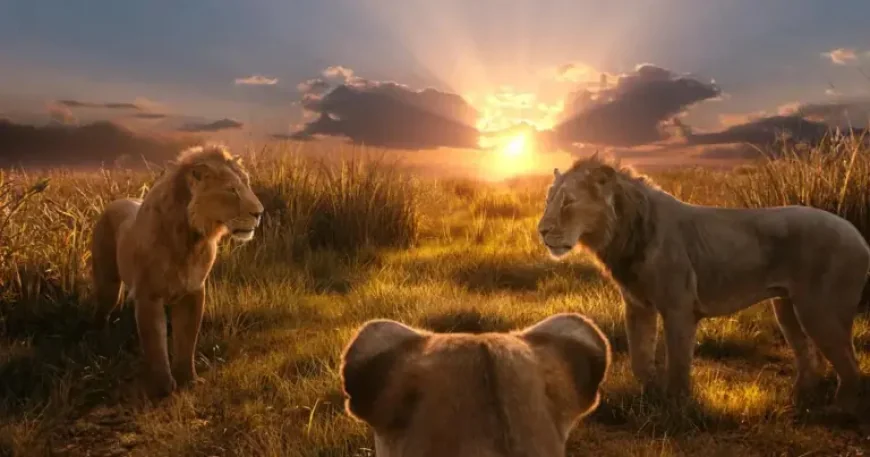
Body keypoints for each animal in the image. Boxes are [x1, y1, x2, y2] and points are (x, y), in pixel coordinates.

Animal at [90, 144, 264, 398]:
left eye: (247, 184)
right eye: (231, 190)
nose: (259, 213)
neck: (190, 239)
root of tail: (116, 201)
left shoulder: (193, 291)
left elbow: (186, 339)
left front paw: (188, 380)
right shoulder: (149, 295)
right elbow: (155, 342)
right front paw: (162, 387)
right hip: (108, 284)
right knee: (101, 312)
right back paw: (100, 346)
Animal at [537, 152, 870, 413]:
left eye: (568, 202)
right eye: (548, 200)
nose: (541, 231)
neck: (623, 233)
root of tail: (858, 235)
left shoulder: (679, 308)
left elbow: (678, 363)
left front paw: (675, 408)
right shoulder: (638, 306)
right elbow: (639, 358)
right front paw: (648, 398)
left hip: (820, 312)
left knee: (850, 367)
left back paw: (839, 412)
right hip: (787, 308)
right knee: (810, 357)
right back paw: (799, 402)